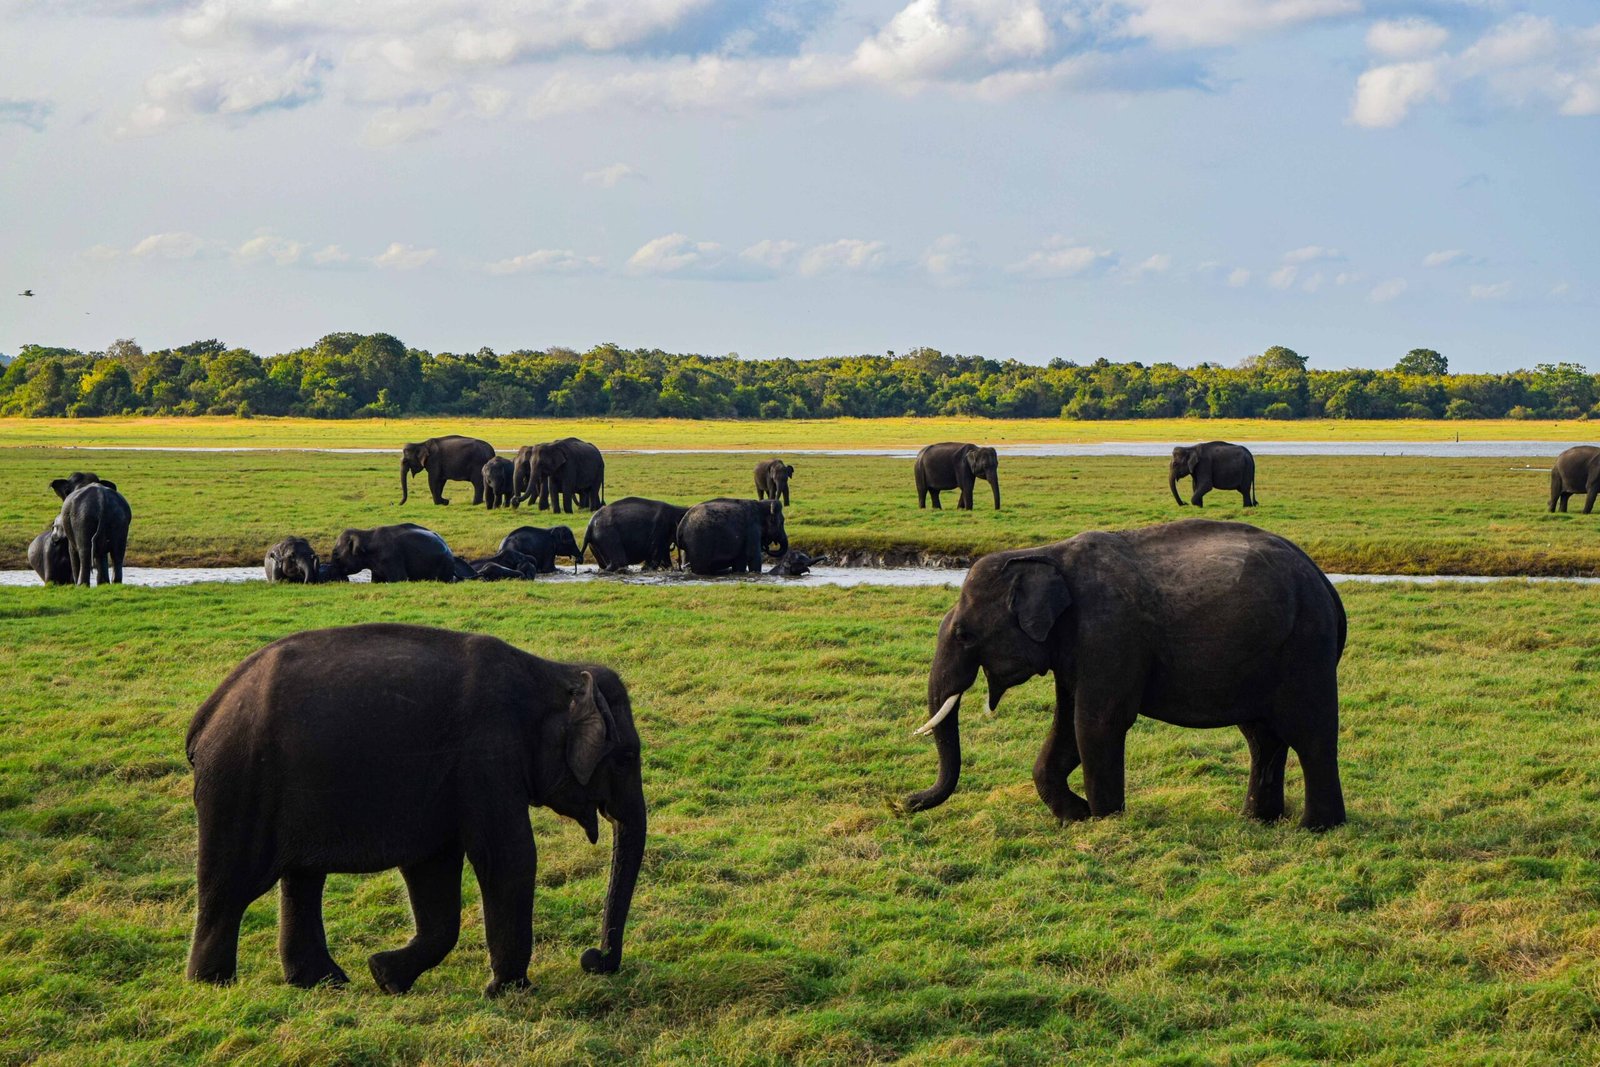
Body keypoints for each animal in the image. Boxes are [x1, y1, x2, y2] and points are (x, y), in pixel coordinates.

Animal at [184, 623, 646, 994]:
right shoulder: (487, 755)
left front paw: (385, 976)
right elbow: (507, 856)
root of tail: (207, 713)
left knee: (301, 878)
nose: (593, 959)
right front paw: (509, 990)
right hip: (241, 780)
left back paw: (323, 982)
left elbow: (433, 867)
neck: (555, 672)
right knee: (230, 885)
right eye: (625, 758)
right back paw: (214, 984)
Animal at [903, 519, 1347, 830]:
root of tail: (1326, 586)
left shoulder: (1108, 633)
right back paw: (1257, 819)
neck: (1043, 554)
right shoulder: (1076, 649)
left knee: (1310, 733)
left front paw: (1104, 820)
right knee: (1262, 736)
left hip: (1306, 647)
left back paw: (1316, 828)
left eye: (964, 635)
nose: (904, 802)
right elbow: (1067, 725)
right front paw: (1077, 816)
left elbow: (1096, 723)